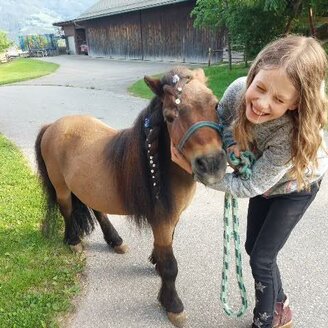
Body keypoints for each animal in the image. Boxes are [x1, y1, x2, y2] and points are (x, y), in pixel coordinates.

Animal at [34, 66, 227, 326]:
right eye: (169, 117)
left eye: (216, 105)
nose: (212, 164)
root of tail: (52, 125)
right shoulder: (162, 219)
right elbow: (171, 266)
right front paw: (172, 304)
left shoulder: (172, 218)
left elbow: (166, 248)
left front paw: (156, 262)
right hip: (62, 187)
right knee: (67, 210)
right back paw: (73, 241)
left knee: (98, 210)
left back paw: (115, 240)